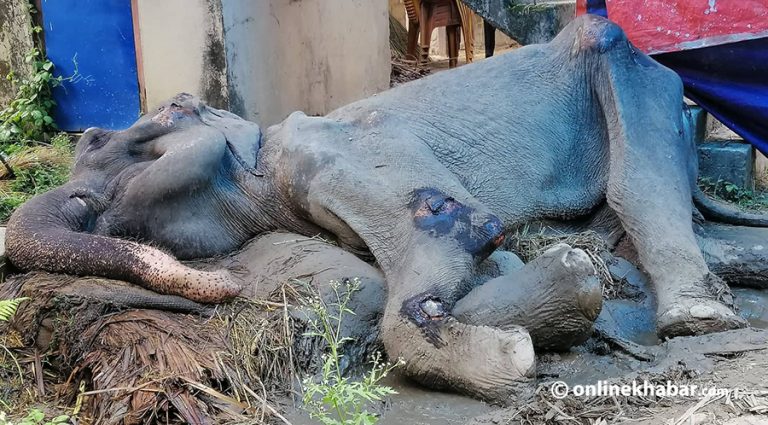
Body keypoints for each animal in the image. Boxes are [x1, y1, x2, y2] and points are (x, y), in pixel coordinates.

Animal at [3, 15, 764, 400]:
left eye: (104, 146)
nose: (227, 288)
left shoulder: (344, 153)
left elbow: (459, 230)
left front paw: (510, 352)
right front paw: (551, 298)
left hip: (632, 79)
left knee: (636, 170)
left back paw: (699, 316)